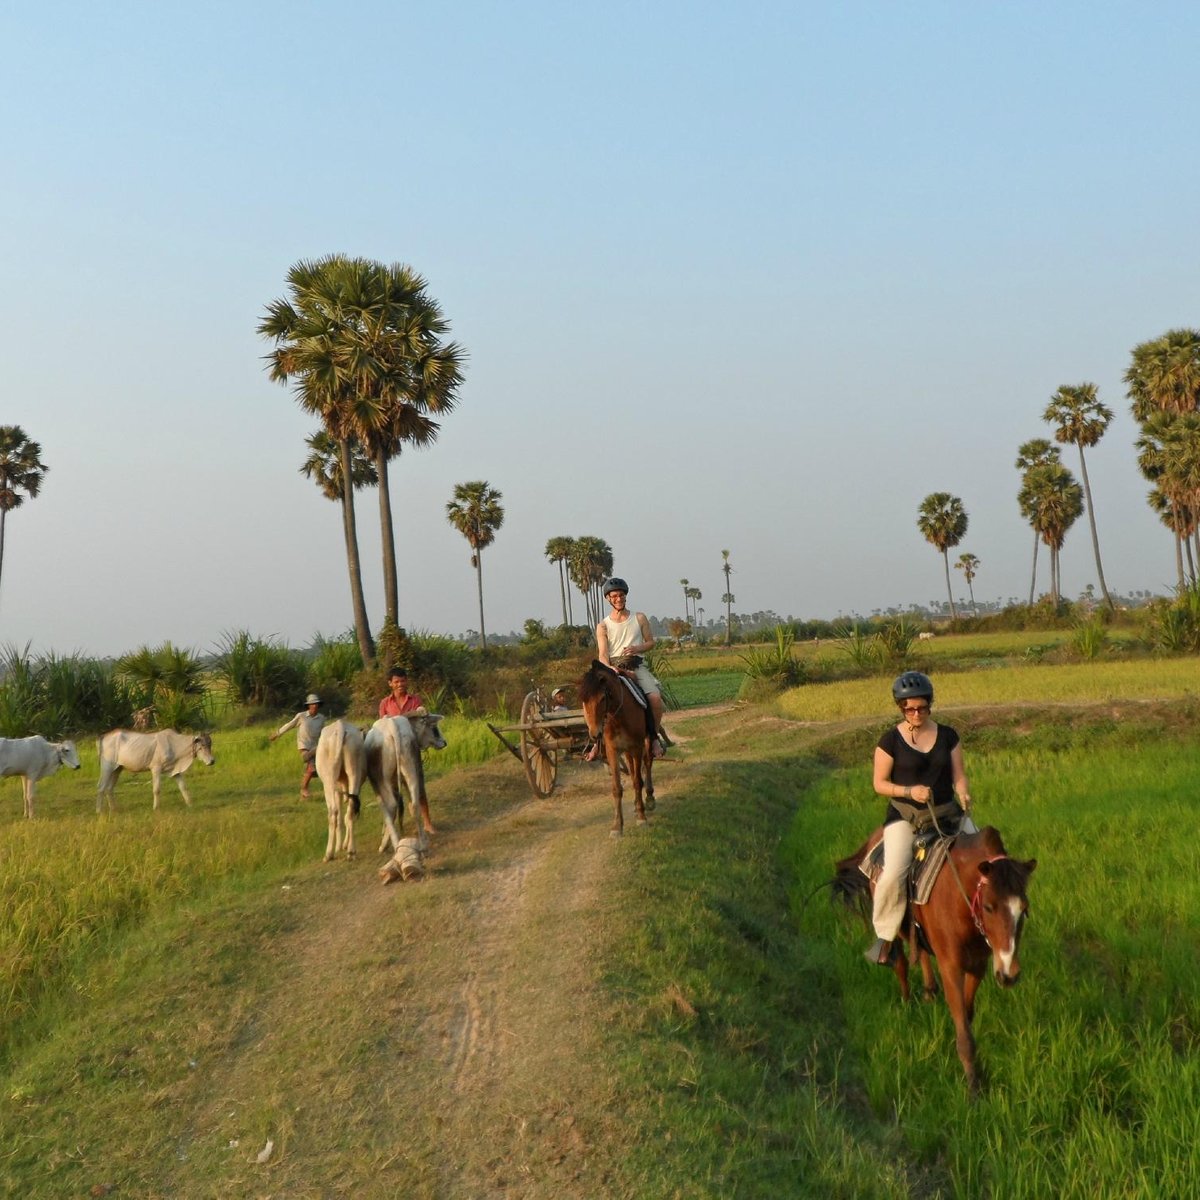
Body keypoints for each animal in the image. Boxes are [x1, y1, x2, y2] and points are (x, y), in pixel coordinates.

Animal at [314, 720, 364, 864]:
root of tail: (340, 727)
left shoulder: (336, 791)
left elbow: (340, 818)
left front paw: (338, 847)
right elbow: (346, 816)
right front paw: (344, 845)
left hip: (329, 781)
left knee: (333, 813)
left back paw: (329, 853)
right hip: (354, 772)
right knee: (352, 808)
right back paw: (351, 851)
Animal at [362, 710, 448, 854]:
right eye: (434, 727)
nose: (444, 742)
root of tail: (392, 725)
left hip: (380, 780)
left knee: (391, 805)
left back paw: (389, 844)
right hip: (410, 769)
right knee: (414, 805)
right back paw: (423, 843)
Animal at [578, 662, 657, 840]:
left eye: (602, 698)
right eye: (583, 701)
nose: (595, 734)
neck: (618, 716)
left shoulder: (636, 746)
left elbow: (637, 781)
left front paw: (641, 817)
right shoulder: (613, 750)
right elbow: (617, 788)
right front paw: (616, 826)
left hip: (645, 742)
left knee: (648, 763)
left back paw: (649, 798)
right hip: (626, 751)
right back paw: (636, 804)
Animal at [835, 825, 1032, 1099]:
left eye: (1023, 909)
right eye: (989, 907)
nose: (1009, 975)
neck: (961, 900)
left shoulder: (978, 965)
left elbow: (966, 1014)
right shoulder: (950, 966)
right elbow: (964, 1027)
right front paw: (974, 1087)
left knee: (921, 952)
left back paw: (929, 990)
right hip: (894, 923)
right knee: (900, 963)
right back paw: (907, 1002)